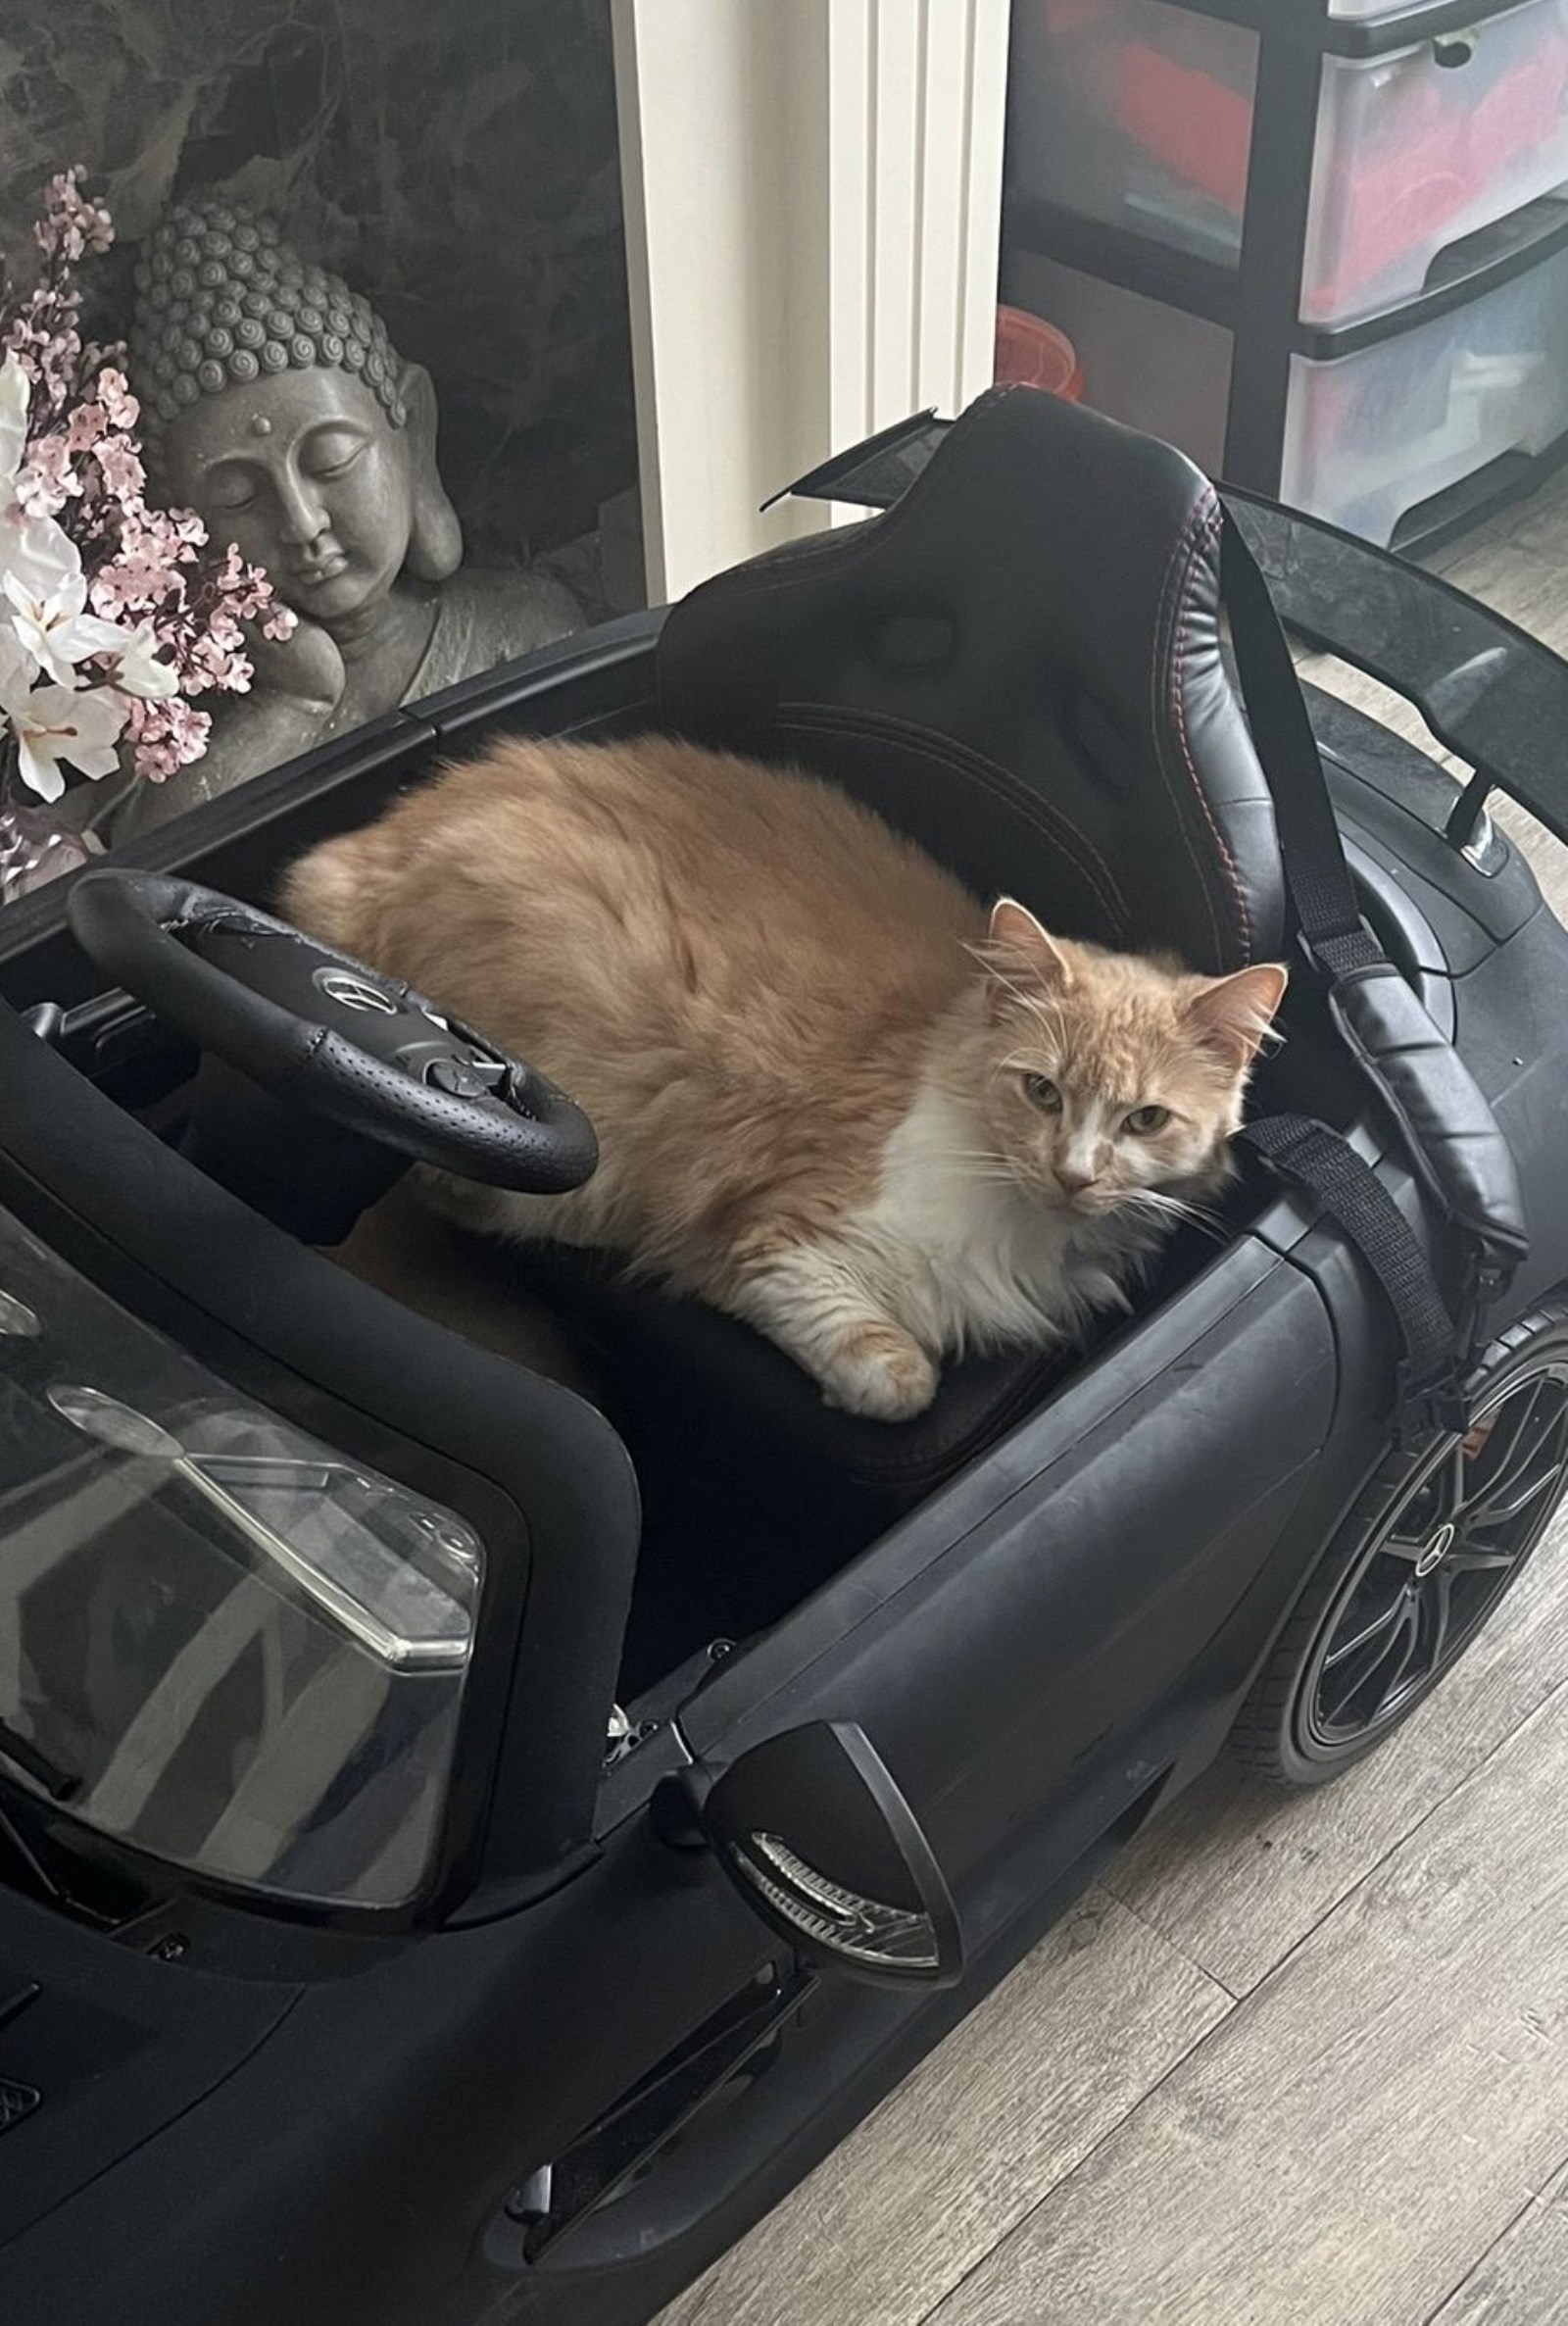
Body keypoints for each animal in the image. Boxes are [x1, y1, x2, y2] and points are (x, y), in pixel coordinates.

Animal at [280, 734, 1286, 1422]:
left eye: (1146, 1119)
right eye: (1042, 1092)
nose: (1074, 1174)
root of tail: (375, 845)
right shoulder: (779, 1239)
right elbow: (900, 1377)